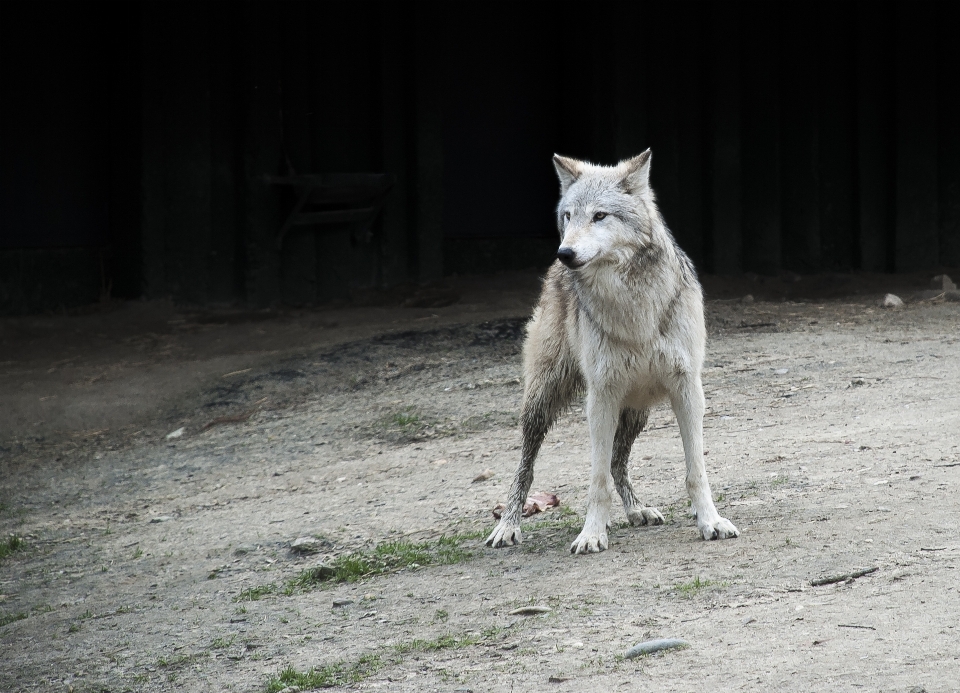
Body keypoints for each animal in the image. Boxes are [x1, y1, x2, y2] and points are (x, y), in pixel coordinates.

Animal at [484, 150, 740, 552]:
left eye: (600, 215)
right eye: (569, 216)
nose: (565, 252)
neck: (634, 308)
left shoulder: (687, 390)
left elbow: (695, 471)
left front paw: (710, 522)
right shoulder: (601, 396)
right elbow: (597, 480)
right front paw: (591, 534)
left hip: (637, 410)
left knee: (619, 461)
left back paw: (637, 510)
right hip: (544, 401)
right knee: (527, 466)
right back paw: (508, 525)